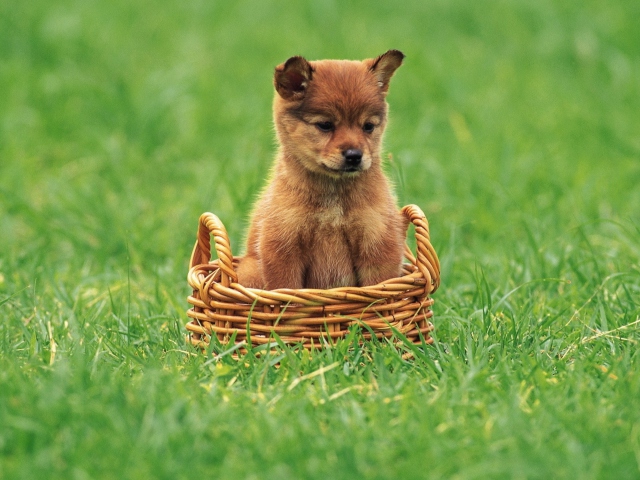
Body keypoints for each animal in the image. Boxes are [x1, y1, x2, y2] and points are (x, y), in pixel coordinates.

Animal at [238, 49, 408, 288]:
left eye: (368, 126)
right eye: (325, 125)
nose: (354, 156)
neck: (332, 196)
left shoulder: (377, 243)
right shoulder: (282, 247)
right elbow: (286, 289)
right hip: (250, 271)